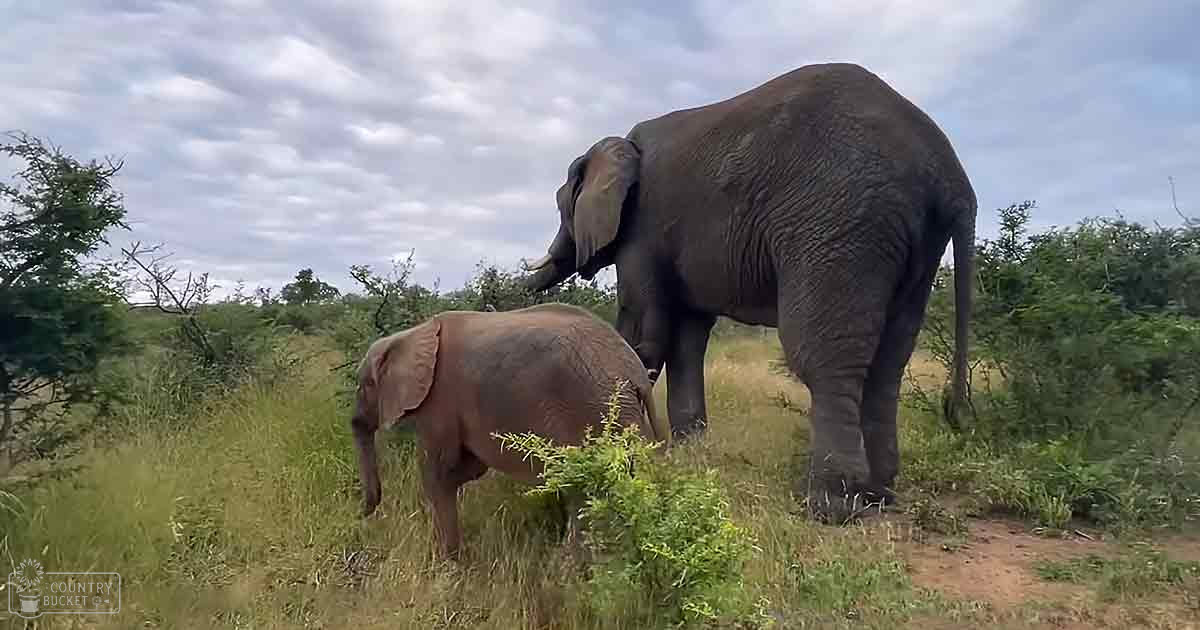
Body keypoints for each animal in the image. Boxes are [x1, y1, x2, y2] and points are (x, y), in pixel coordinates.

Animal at [349, 302, 669, 559]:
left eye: (364, 386)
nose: (361, 515)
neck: (410, 335)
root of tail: (636, 372)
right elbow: (466, 470)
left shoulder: (438, 400)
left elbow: (437, 476)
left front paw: (447, 565)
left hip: (594, 407)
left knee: (581, 489)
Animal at [523, 62, 975, 521]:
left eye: (562, 206)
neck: (618, 148)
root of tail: (951, 175)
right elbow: (687, 340)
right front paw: (690, 454)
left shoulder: (641, 230)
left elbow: (644, 336)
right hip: (910, 240)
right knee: (889, 362)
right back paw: (879, 496)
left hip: (843, 220)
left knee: (822, 358)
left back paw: (831, 507)